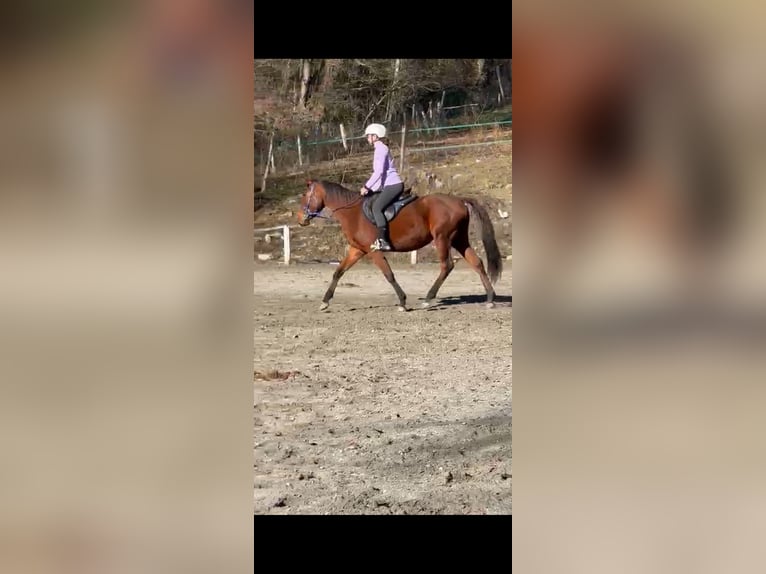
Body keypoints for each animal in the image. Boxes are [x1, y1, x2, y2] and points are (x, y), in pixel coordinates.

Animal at [296, 180, 503, 311]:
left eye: (305, 195)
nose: (300, 219)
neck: (352, 212)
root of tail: (460, 200)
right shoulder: (357, 250)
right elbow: (338, 272)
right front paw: (325, 301)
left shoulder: (373, 252)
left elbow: (389, 274)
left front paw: (403, 302)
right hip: (459, 240)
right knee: (477, 263)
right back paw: (490, 299)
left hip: (442, 238)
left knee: (447, 266)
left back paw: (428, 298)